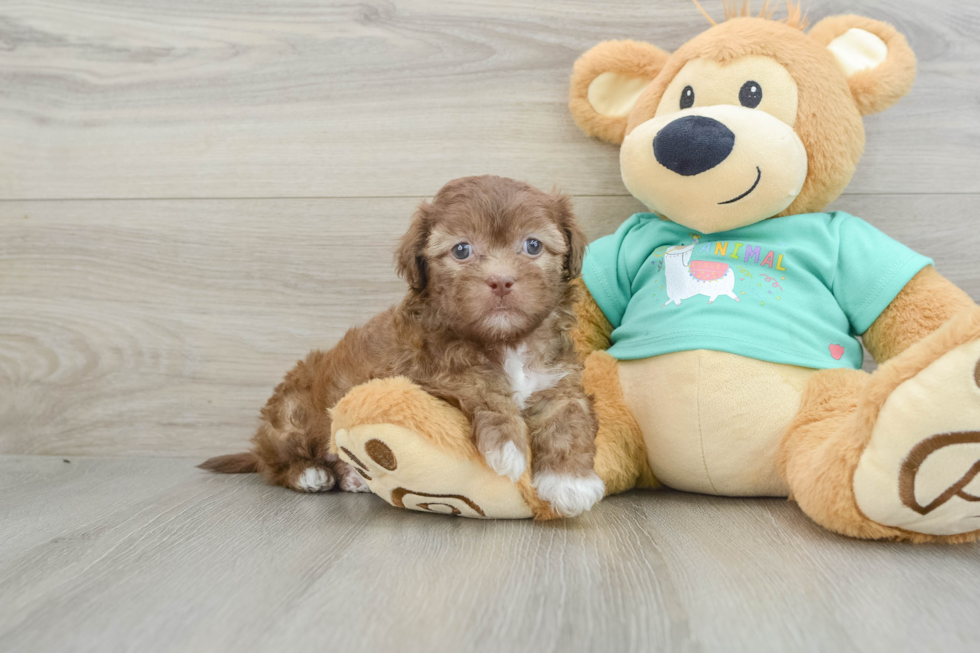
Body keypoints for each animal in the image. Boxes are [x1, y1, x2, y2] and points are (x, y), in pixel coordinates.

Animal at [202, 176, 604, 516]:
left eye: (532, 245)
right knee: (271, 462)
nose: (501, 280)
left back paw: (351, 476)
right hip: (293, 412)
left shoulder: (558, 379)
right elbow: (478, 382)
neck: (505, 341)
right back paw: (309, 473)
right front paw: (508, 443)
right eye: (462, 250)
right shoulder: (422, 374)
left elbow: (569, 416)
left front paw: (570, 483)